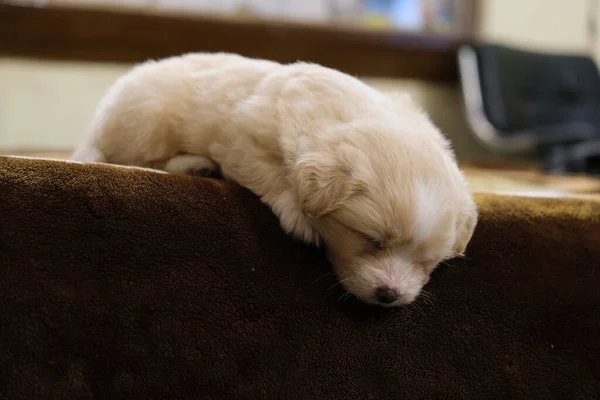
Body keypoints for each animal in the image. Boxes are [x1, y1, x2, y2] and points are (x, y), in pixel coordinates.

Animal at [71, 52, 478, 306]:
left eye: (429, 261)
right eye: (371, 240)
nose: (390, 296)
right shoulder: (243, 140)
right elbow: (274, 174)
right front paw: (300, 217)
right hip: (143, 121)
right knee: (126, 156)